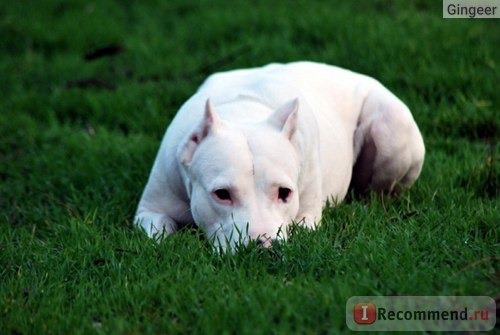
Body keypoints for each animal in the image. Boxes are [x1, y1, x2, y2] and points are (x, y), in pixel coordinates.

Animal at [135, 61, 424, 251]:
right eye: (222, 194)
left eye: (284, 193)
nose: (263, 246)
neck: (242, 112)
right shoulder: (150, 211)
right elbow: (160, 234)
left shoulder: (307, 217)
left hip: (392, 124)